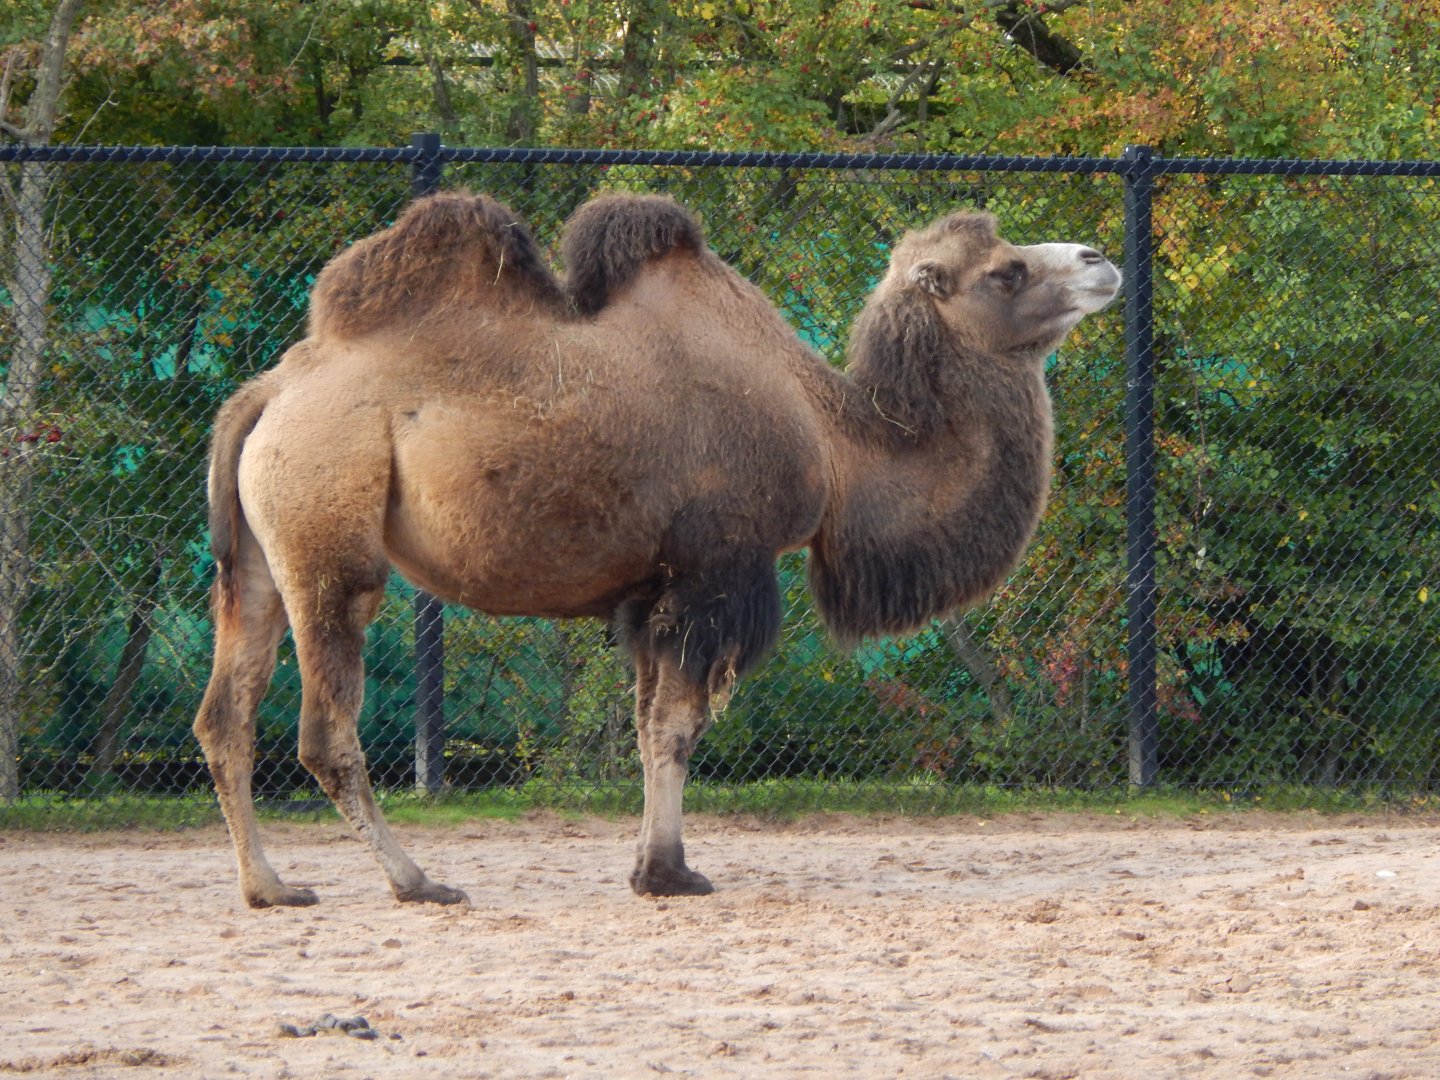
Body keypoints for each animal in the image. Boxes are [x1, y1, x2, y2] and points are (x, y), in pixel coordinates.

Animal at [193, 189, 1120, 908]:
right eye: (1005, 271)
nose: (1101, 258)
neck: (835, 445)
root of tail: (268, 392)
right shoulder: (716, 571)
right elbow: (679, 727)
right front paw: (672, 873)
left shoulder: (650, 588)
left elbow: (645, 726)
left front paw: (648, 864)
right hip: (329, 532)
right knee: (324, 728)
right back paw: (416, 881)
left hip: (259, 557)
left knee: (225, 714)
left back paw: (271, 887)